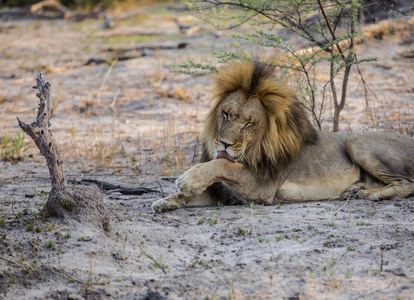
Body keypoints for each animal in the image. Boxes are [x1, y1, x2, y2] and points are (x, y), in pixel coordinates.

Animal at [152, 59, 414, 212]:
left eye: (249, 123)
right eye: (225, 114)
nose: (224, 144)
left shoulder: (262, 188)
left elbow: (223, 166)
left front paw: (188, 180)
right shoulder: (222, 194)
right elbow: (196, 191)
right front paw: (167, 201)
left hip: (354, 140)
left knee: (407, 184)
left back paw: (369, 194)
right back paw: (353, 190)